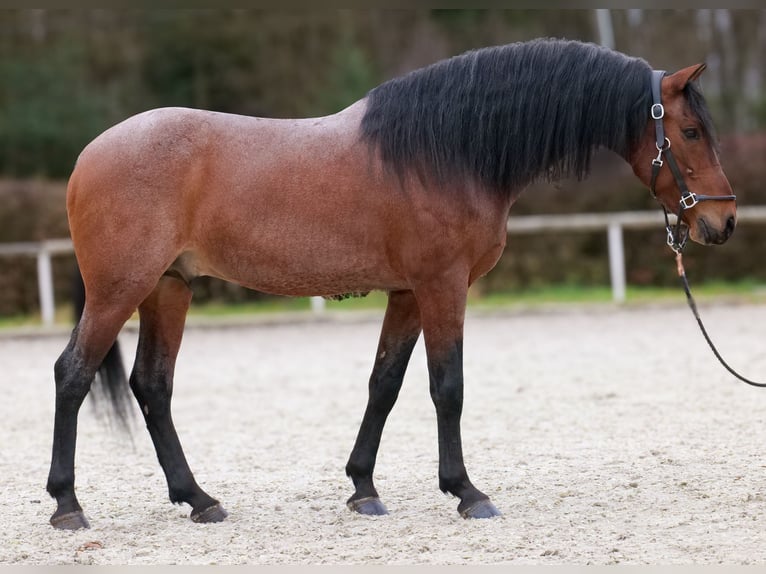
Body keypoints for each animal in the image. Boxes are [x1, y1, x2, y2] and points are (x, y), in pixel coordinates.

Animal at [47, 38, 736, 530]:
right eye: (691, 131)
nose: (723, 222)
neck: (447, 150)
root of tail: (87, 156)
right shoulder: (442, 286)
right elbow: (447, 386)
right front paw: (467, 492)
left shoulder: (407, 293)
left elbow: (385, 385)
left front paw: (363, 488)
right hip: (121, 290)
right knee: (73, 375)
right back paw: (68, 505)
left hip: (169, 288)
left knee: (152, 386)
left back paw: (198, 499)